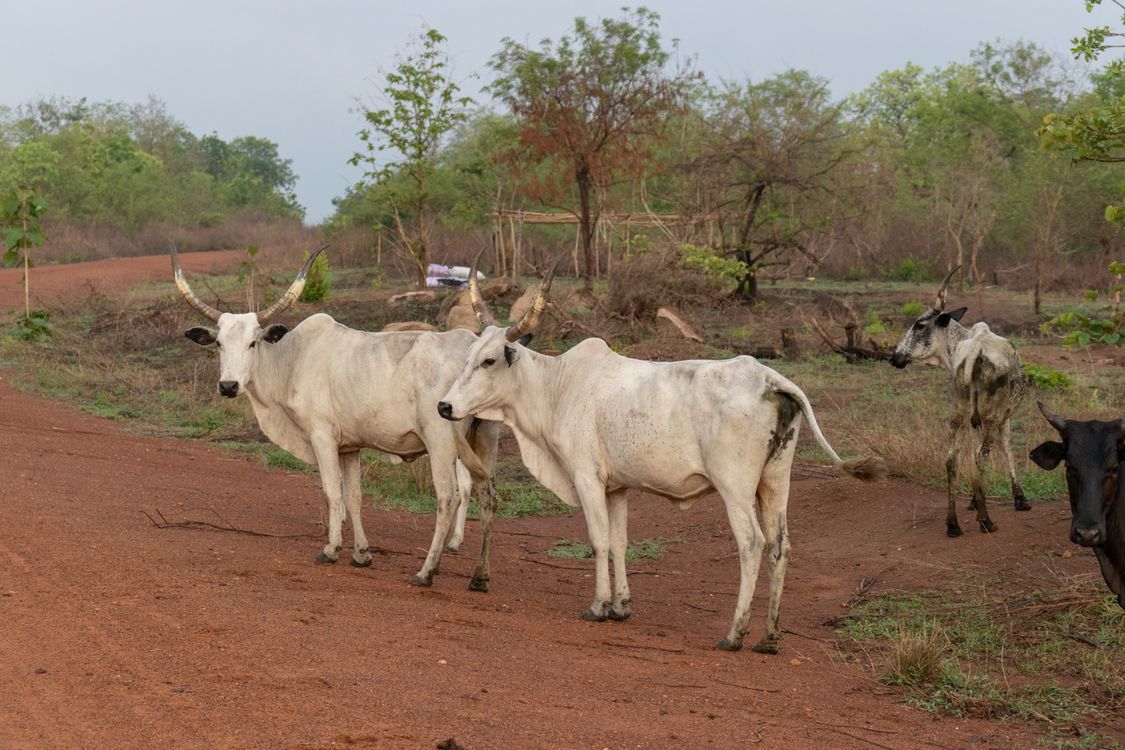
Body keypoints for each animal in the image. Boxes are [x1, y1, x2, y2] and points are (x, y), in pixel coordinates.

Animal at [171, 245, 501, 591]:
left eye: (252, 342)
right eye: (219, 343)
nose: (228, 386)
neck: (291, 358)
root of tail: (473, 347)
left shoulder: (322, 437)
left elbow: (332, 491)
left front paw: (330, 549)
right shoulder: (350, 447)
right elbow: (353, 496)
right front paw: (361, 554)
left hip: (441, 443)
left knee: (448, 497)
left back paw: (427, 571)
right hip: (485, 438)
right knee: (489, 495)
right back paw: (480, 576)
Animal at [435, 256, 886, 652]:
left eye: (489, 360)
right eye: (468, 358)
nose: (444, 407)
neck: (557, 386)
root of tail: (768, 378)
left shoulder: (587, 478)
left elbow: (598, 539)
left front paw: (598, 606)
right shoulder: (616, 487)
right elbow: (619, 541)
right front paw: (620, 606)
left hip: (736, 487)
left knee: (752, 543)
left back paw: (735, 634)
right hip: (775, 482)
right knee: (780, 545)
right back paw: (769, 638)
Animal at [890, 266, 1030, 537]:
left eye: (919, 325)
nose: (895, 357)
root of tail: (976, 350)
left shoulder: (974, 420)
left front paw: (975, 499)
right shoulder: (1004, 416)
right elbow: (1007, 448)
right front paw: (1019, 499)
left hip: (958, 413)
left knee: (952, 460)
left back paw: (953, 524)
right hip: (990, 415)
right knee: (981, 457)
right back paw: (986, 521)